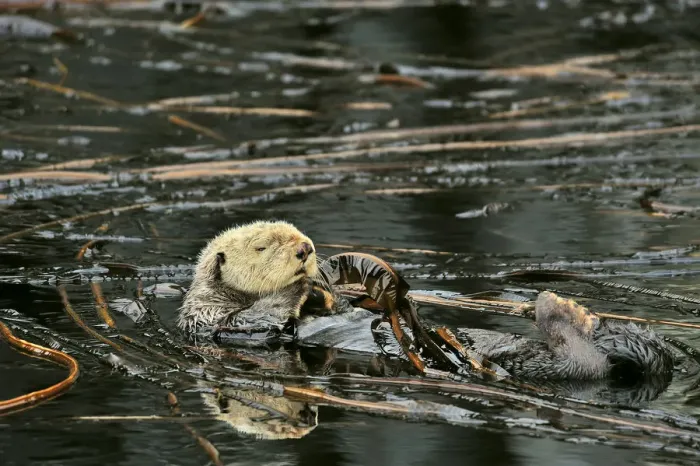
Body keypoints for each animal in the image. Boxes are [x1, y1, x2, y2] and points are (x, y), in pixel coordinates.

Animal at [178, 221, 674, 383]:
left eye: (300, 234)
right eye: (264, 245)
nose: (306, 249)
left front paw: (332, 288)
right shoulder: (212, 320)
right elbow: (259, 320)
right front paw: (303, 287)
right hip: (541, 365)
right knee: (581, 364)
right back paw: (563, 312)